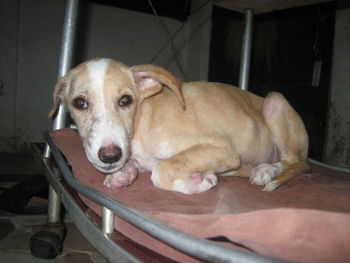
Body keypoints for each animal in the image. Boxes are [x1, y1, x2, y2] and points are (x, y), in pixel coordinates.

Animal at [49, 58, 308, 194]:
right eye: (79, 103)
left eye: (125, 100)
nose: (110, 156)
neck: (140, 123)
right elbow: (143, 165)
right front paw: (124, 174)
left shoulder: (222, 148)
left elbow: (161, 170)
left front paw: (199, 182)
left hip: (275, 101)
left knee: (294, 163)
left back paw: (268, 170)